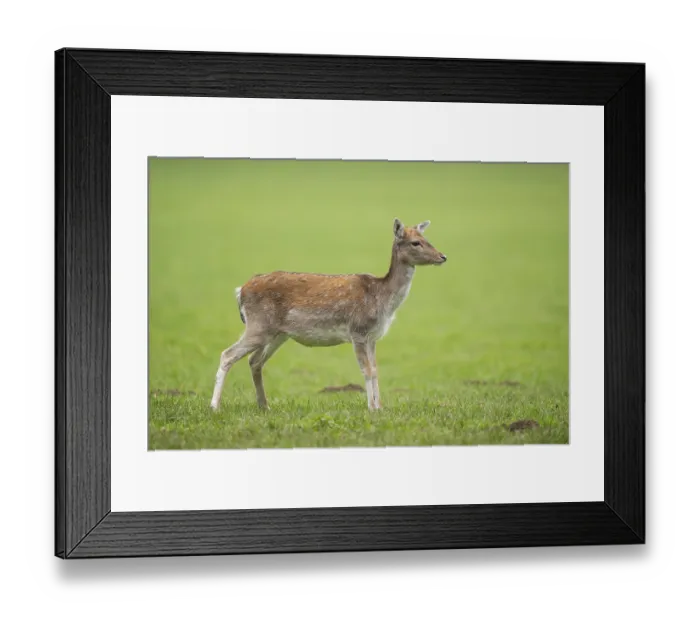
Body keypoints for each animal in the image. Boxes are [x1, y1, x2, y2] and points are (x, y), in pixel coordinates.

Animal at [210, 218, 447, 411]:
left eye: (426, 238)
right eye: (415, 242)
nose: (443, 256)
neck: (382, 298)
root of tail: (240, 290)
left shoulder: (373, 337)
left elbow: (376, 369)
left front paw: (379, 407)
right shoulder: (358, 331)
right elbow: (367, 370)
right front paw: (372, 409)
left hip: (277, 333)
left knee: (254, 361)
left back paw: (264, 406)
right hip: (258, 325)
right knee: (227, 354)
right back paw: (214, 407)